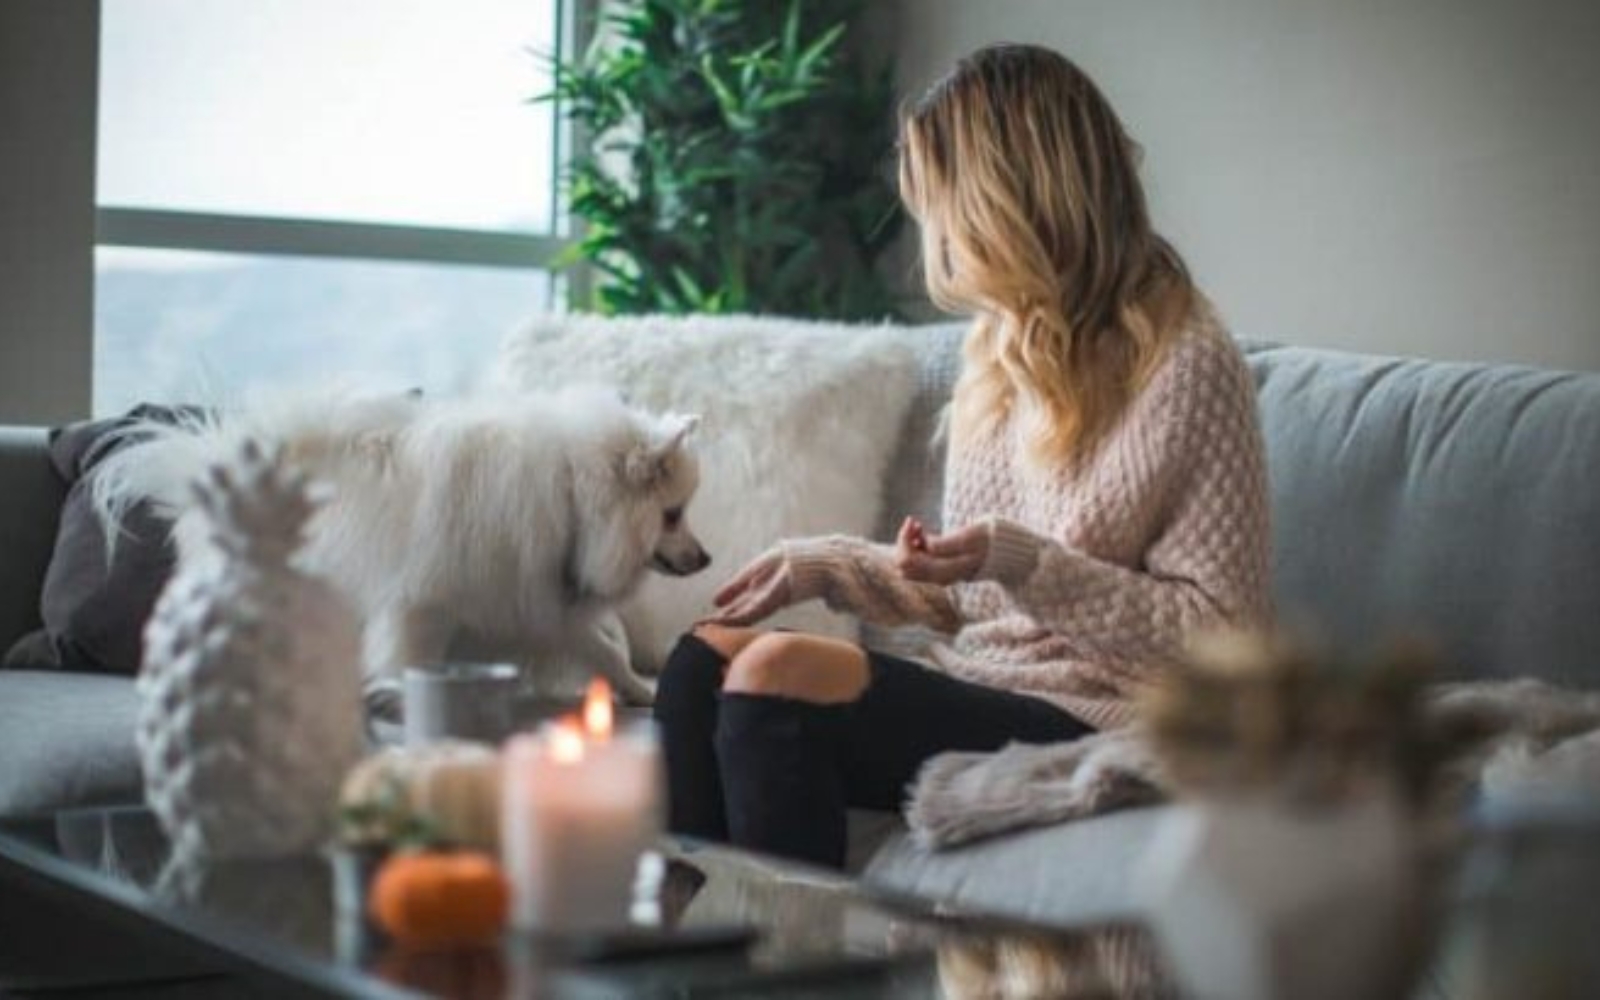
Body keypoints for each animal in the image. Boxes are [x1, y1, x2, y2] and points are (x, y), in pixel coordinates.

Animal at [92, 382, 707, 700]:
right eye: (673, 515)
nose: (706, 558)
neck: (570, 493)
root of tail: (215, 459)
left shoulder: (535, 599)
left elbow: (604, 651)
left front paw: (641, 691)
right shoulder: (425, 604)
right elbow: (410, 659)